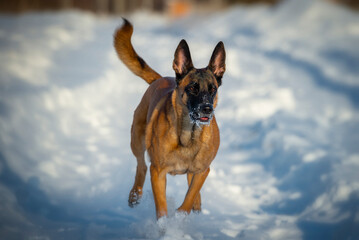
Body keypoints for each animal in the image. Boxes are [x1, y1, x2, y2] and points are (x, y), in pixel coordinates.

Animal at [113, 18, 225, 218]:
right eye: (193, 88)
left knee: (190, 183)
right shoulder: (158, 172)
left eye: (213, 89)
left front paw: (182, 215)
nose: (207, 109)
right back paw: (135, 195)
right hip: (137, 140)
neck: (188, 135)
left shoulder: (203, 170)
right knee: (141, 165)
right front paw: (165, 224)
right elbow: (162, 208)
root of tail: (162, 78)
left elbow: (190, 196)